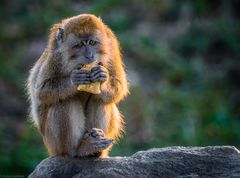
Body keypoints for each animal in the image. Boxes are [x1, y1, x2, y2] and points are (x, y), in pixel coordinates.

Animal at [27, 13, 128, 157]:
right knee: (65, 102)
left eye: (92, 42)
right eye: (79, 45)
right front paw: (75, 79)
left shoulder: (111, 45)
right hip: (53, 143)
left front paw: (102, 78)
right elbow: (41, 91)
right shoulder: (55, 55)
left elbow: (119, 87)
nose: (90, 55)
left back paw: (95, 148)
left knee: (100, 100)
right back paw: (79, 149)